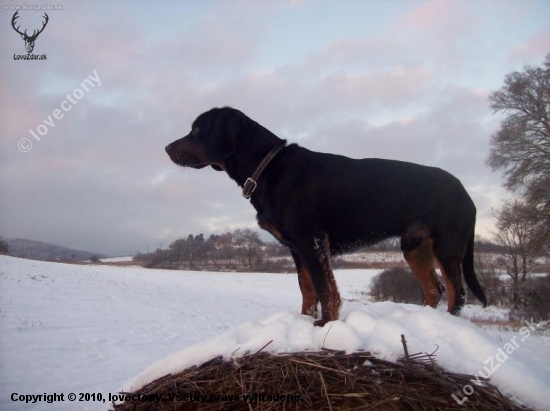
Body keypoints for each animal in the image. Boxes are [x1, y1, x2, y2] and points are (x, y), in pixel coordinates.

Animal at [166, 108, 490, 326]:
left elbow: (325, 290)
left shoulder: (312, 241)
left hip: (447, 246)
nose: (167, 147)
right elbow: (307, 290)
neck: (268, 168)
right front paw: (305, 321)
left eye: (197, 130)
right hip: (414, 248)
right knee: (434, 289)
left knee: (457, 293)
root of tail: (467, 195)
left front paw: (325, 324)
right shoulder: (296, 248)